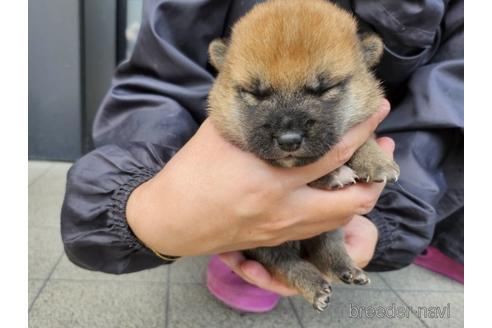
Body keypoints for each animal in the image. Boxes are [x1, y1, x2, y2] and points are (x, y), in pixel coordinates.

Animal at [206, 0, 398, 310]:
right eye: (254, 93)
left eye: (326, 88)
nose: (289, 140)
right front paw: (333, 174)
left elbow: (365, 139)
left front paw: (376, 160)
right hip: (262, 244)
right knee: (285, 262)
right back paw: (314, 286)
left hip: (329, 229)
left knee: (326, 248)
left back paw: (346, 269)